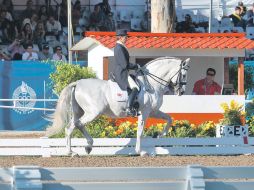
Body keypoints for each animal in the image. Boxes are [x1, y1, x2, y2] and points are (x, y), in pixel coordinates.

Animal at [45, 56, 190, 156]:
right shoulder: (145, 112)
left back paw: (83, 148)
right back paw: (77, 150)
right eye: (183, 74)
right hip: (93, 112)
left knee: (73, 126)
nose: (182, 92)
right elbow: (140, 132)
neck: (151, 84)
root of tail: (77, 83)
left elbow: (169, 118)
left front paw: (160, 135)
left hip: (79, 111)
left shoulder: (153, 111)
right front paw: (141, 152)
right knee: (75, 125)